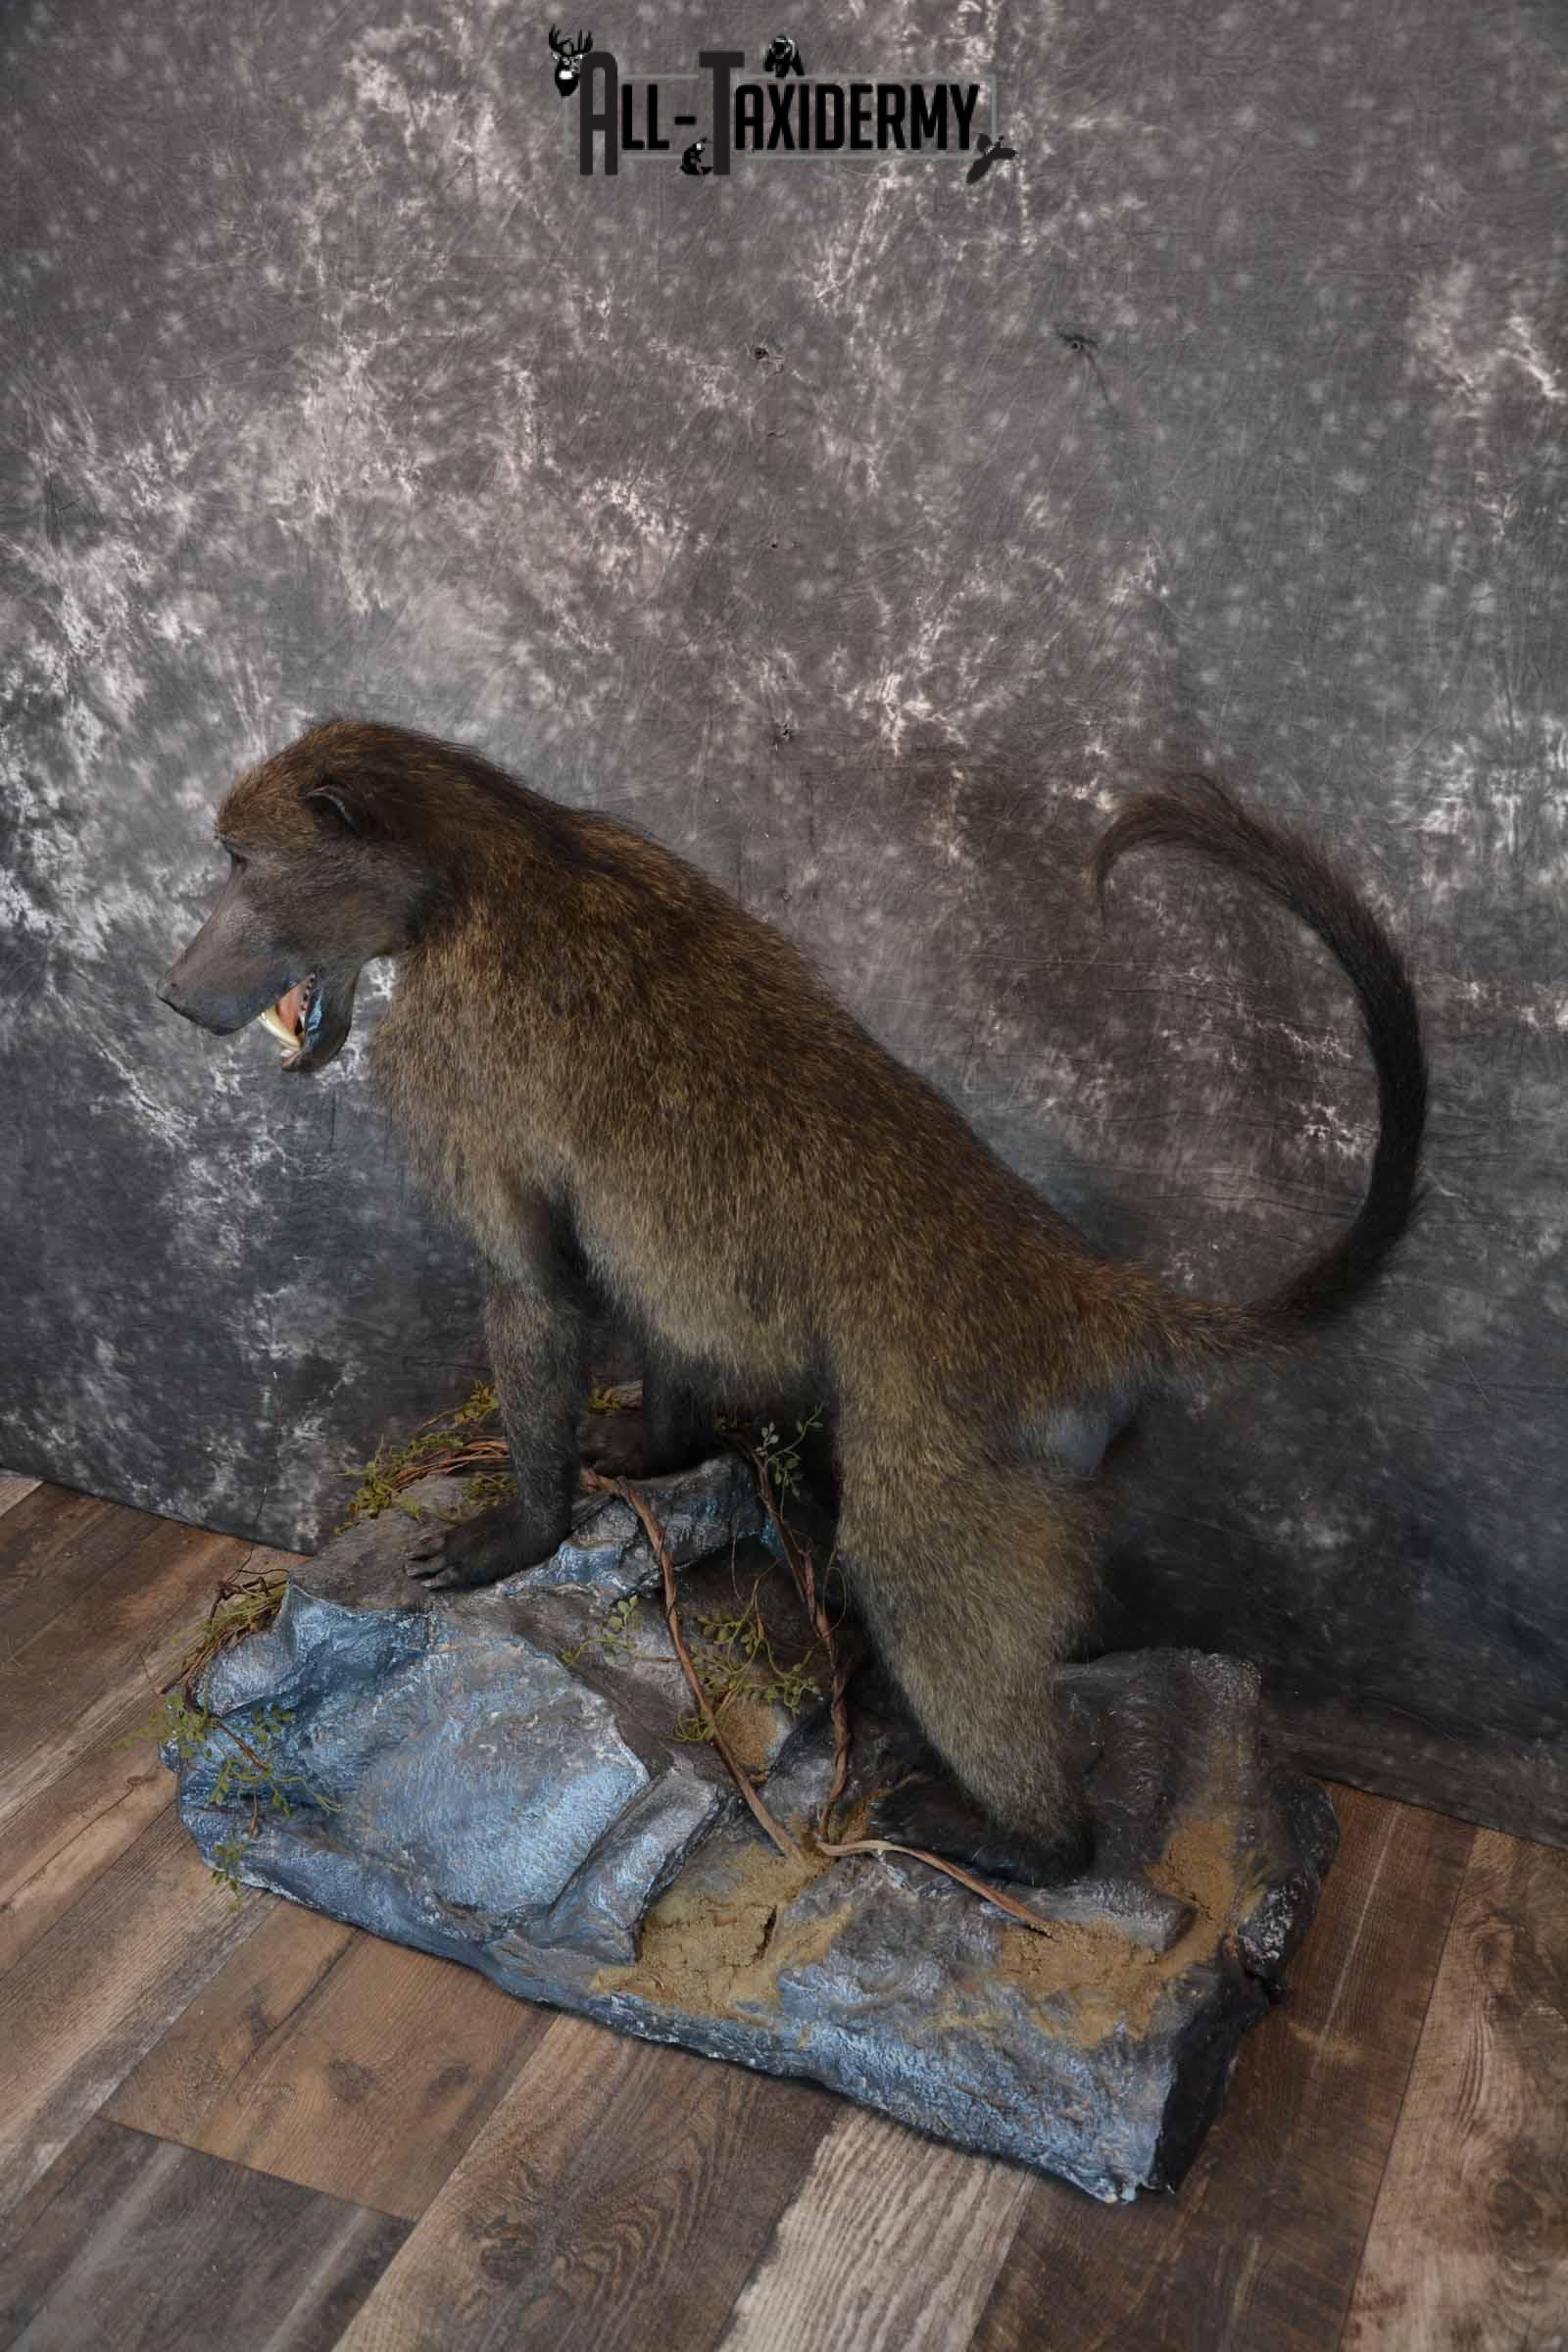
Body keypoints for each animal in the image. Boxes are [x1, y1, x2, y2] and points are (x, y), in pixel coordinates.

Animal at [156, 722, 1427, 1885]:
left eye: (239, 861)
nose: (174, 992)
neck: (492, 854)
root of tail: (1081, 1293)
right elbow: (640, 1288)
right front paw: (654, 1448)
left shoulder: (445, 1057)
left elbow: (533, 1288)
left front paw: (519, 1531)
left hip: (968, 1447)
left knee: (911, 1575)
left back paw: (1033, 1844)